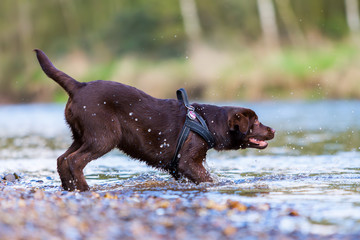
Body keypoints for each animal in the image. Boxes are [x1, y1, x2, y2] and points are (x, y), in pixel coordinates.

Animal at [34, 48, 276, 191]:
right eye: (255, 122)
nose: (272, 130)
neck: (206, 122)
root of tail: (78, 86)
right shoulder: (188, 162)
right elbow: (207, 178)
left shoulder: (177, 168)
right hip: (104, 137)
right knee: (74, 161)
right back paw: (84, 189)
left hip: (81, 135)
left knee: (62, 159)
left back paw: (69, 188)